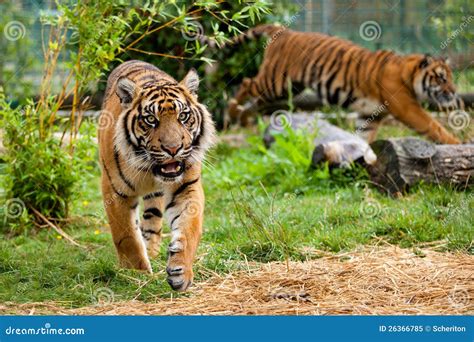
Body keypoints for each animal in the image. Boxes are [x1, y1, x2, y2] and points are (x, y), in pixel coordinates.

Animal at [99, 60, 216, 290]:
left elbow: (189, 229)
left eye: (183, 116)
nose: (173, 149)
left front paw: (181, 272)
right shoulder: (114, 191)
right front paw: (136, 274)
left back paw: (152, 251)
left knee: (152, 221)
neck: (150, 169)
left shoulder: (187, 187)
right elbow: (126, 235)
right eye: (151, 119)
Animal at [225, 24, 462, 144]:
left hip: (287, 88)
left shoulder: (369, 115)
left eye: (450, 77)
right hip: (276, 82)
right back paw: (232, 113)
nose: (453, 92)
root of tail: (284, 30)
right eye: (441, 78)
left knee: (255, 102)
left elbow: (364, 137)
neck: (409, 74)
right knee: (246, 83)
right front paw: (457, 145)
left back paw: (244, 120)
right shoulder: (407, 108)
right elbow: (433, 126)